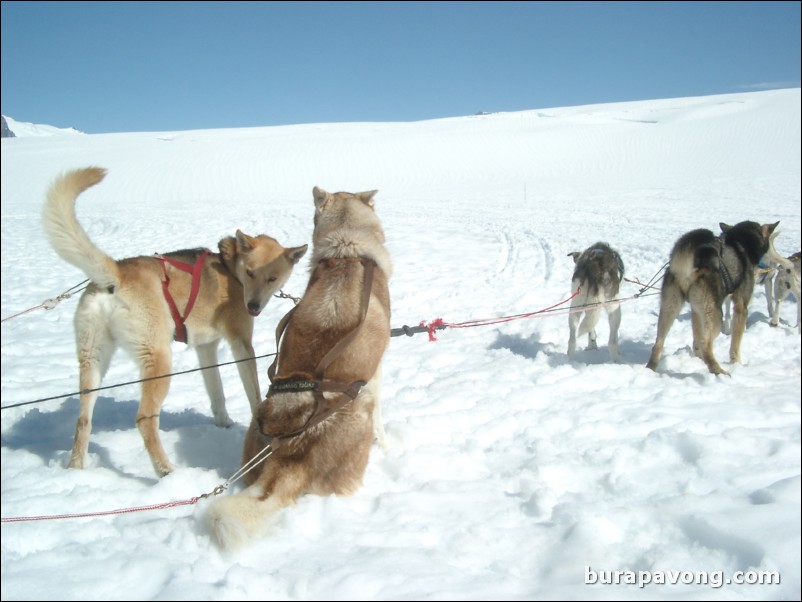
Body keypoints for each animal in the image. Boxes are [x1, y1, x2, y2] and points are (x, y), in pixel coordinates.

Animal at [42, 166, 308, 476]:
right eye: (251, 273)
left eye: (272, 278)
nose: (252, 306)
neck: (230, 270)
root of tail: (117, 274)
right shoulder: (241, 344)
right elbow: (253, 392)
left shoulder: (206, 348)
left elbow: (217, 393)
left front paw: (224, 424)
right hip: (159, 362)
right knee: (144, 418)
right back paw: (165, 471)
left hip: (93, 361)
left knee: (83, 419)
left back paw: (76, 468)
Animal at [648, 218, 780, 372]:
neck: (741, 242)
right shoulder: (741, 306)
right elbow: (735, 343)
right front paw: (736, 363)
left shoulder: (696, 310)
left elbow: (696, 338)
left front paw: (697, 358)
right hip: (715, 314)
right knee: (706, 343)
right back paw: (719, 371)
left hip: (670, 308)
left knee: (658, 342)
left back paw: (650, 368)